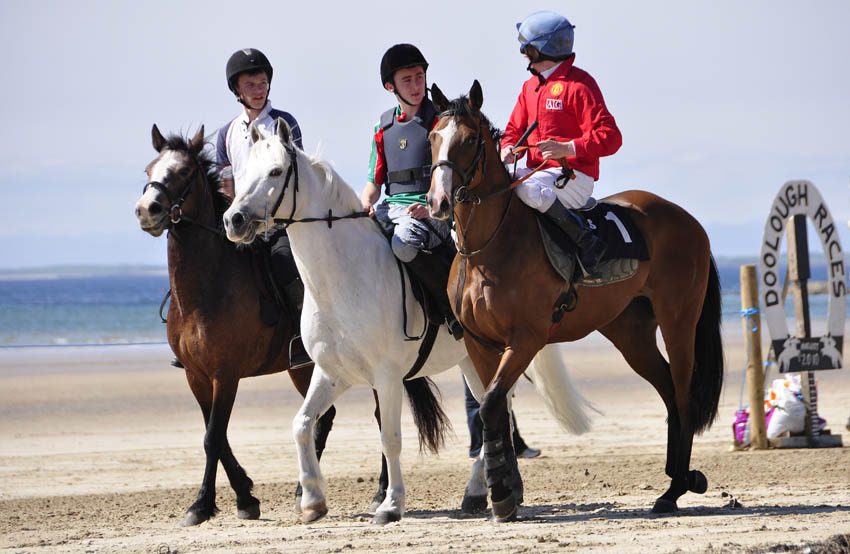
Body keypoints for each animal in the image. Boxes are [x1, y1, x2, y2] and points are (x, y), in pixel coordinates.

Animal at [135, 126, 384, 528]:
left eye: (184, 171)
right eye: (149, 169)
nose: (148, 210)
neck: (207, 287)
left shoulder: (225, 374)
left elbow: (213, 437)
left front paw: (205, 505)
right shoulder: (197, 376)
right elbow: (216, 436)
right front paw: (242, 496)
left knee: (379, 415)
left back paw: (379, 493)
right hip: (304, 369)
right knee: (322, 418)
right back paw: (303, 491)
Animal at [220, 119, 588, 520]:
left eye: (275, 171)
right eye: (242, 174)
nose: (233, 220)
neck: (342, 280)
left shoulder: (387, 377)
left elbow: (390, 439)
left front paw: (392, 503)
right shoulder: (332, 373)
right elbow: (301, 425)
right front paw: (313, 501)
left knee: (495, 409)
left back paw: (485, 491)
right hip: (473, 360)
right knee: (496, 408)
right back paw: (487, 492)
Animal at [424, 81, 724, 516]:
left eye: (468, 139)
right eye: (433, 137)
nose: (438, 202)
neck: (487, 249)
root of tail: (688, 219)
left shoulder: (526, 339)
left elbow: (494, 402)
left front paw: (502, 496)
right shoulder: (480, 344)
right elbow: (495, 408)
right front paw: (508, 489)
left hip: (679, 322)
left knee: (683, 394)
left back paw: (673, 491)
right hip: (630, 334)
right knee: (668, 389)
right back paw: (681, 478)